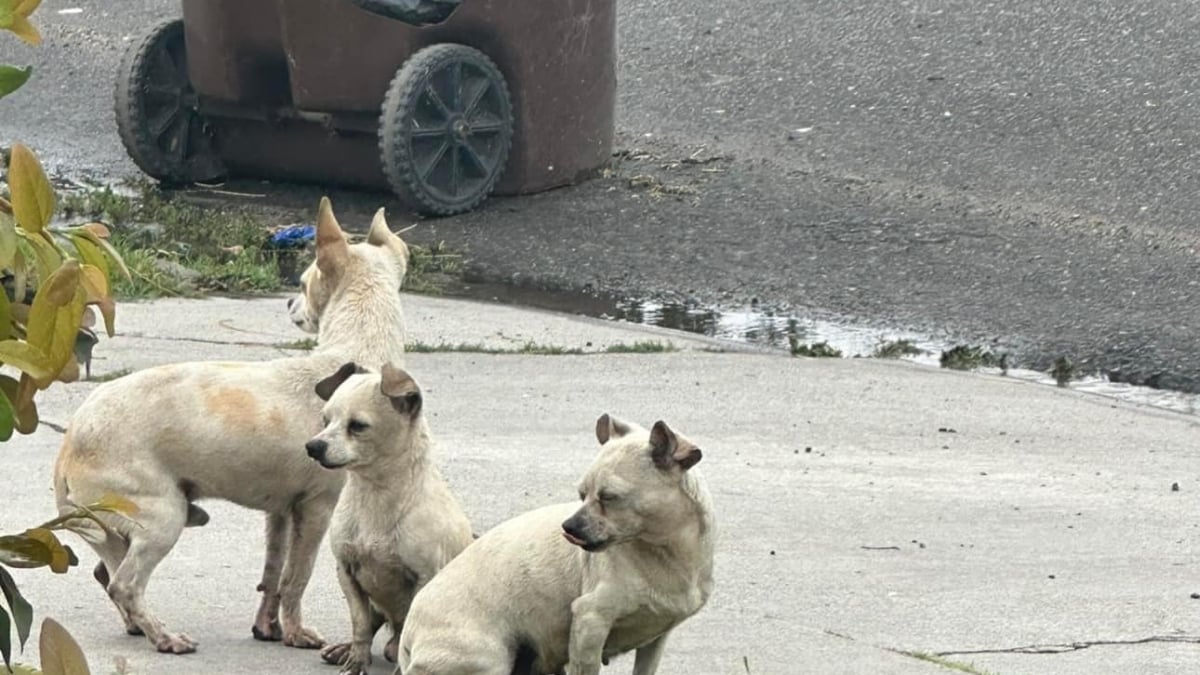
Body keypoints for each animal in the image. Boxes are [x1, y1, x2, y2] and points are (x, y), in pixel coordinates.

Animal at [54, 195, 412, 653]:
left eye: (300, 286)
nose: (288, 304)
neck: (354, 353)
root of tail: (69, 444)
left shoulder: (282, 513)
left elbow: (274, 576)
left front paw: (269, 628)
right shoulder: (316, 509)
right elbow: (298, 577)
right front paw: (295, 633)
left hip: (123, 527)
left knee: (108, 574)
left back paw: (141, 625)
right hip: (164, 518)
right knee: (124, 584)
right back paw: (164, 636)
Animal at [304, 362, 472, 672]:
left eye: (358, 426)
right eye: (325, 421)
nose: (312, 447)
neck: (374, 494)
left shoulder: (423, 579)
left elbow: (407, 631)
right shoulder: (347, 572)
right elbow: (360, 625)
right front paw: (356, 661)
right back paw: (345, 649)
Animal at [396, 413, 710, 672]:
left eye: (609, 498)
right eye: (582, 494)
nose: (568, 527)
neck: (665, 552)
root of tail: (406, 643)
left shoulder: (655, 640)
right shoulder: (590, 623)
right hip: (491, 659)